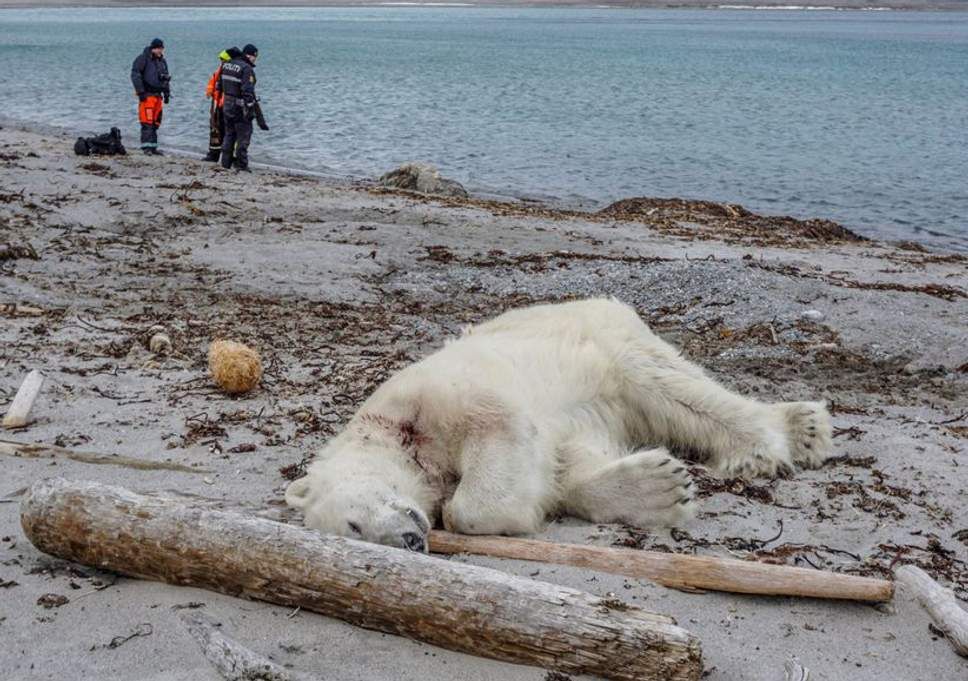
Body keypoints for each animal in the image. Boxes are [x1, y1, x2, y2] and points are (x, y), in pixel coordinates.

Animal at [286, 294, 832, 548]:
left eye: (353, 523)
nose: (411, 540)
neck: (393, 434)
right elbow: (567, 464)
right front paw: (657, 488)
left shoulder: (434, 398)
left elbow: (495, 441)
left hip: (607, 340)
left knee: (673, 389)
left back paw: (784, 437)